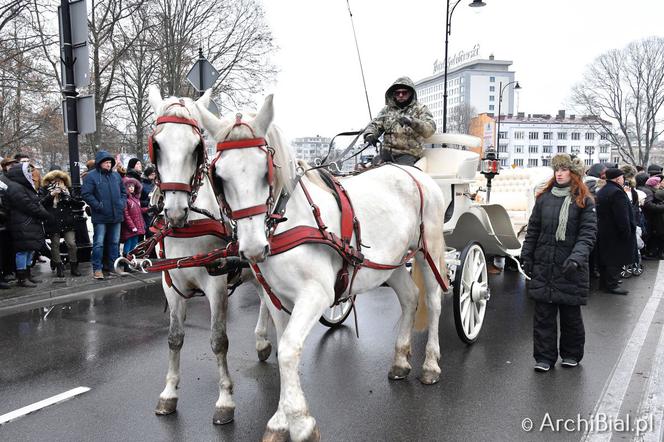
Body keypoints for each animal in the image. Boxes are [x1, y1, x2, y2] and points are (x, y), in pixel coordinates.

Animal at [145, 86, 272, 424]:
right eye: (157, 145)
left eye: (196, 146)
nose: (175, 211)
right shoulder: (171, 285)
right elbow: (175, 338)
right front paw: (169, 394)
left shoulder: (216, 286)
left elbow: (218, 340)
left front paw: (225, 399)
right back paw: (262, 341)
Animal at [196, 91, 446, 440]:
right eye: (218, 176)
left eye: (265, 171)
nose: (253, 248)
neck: (289, 221)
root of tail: (415, 174)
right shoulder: (275, 298)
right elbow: (284, 346)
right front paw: (280, 421)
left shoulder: (316, 295)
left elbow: (289, 349)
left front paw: (301, 423)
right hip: (390, 262)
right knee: (410, 298)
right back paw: (399, 360)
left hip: (429, 250)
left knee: (434, 302)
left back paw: (431, 365)